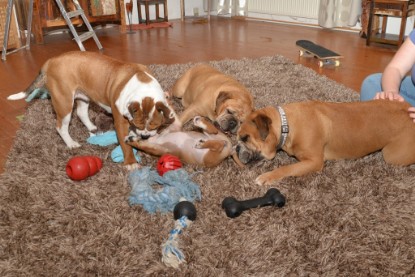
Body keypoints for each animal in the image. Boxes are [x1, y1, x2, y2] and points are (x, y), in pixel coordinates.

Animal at [7, 51, 177, 168]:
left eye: (155, 126)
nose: (145, 136)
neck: (142, 85)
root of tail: (51, 61)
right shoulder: (120, 122)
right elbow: (125, 144)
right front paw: (131, 162)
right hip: (64, 102)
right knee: (61, 126)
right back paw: (71, 143)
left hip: (83, 97)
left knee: (81, 113)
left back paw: (92, 128)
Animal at [236, 99, 415, 185]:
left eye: (245, 138)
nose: (236, 148)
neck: (286, 126)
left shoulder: (314, 162)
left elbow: (286, 168)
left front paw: (267, 177)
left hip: (392, 156)